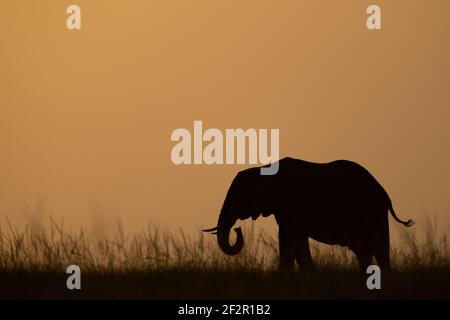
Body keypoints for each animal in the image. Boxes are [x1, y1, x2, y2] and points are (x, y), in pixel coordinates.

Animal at [205, 156, 414, 272]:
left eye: (238, 197)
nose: (237, 229)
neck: (263, 169)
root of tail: (385, 195)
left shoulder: (291, 207)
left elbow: (293, 240)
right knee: (365, 250)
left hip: (370, 213)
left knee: (376, 249)